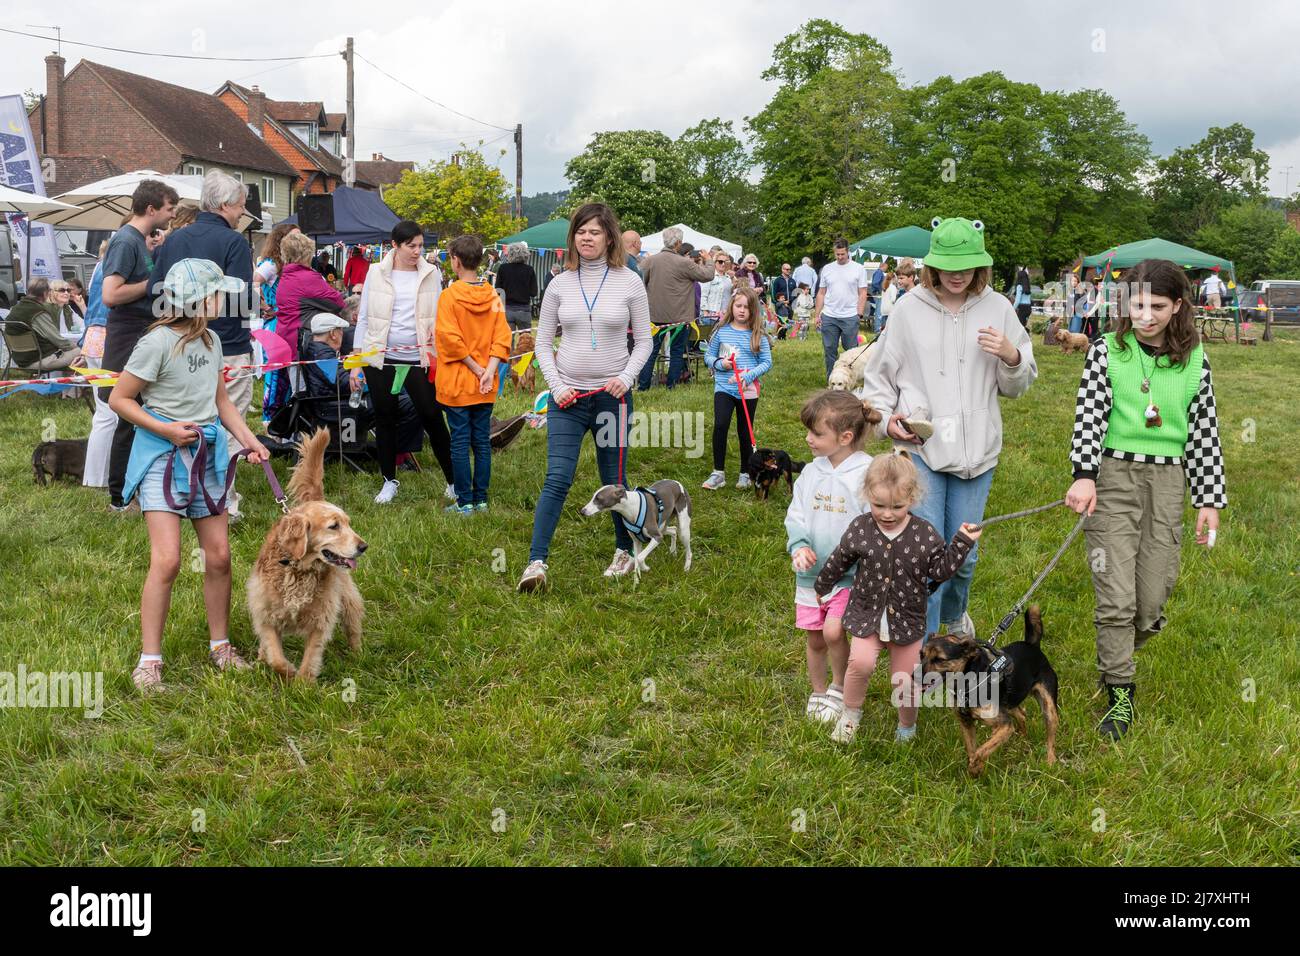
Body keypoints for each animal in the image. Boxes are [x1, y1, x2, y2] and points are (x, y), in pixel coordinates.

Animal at [246, 426, 366, 681]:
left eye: (348, 524)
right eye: (334, 526)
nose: (363, 547)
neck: (296, 568)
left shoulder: (321, 617)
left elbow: (311, 655)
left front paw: (303, 683)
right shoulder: (266, 614)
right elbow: (275, 655)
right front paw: (286, 670)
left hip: (347, 596)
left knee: (353, 624)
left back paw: (358, 653)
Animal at [920, 606, 1060, 780]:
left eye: (939, 659)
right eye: (921, 655)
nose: (914, 675)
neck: (968, 681)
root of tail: (1033, 646)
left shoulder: (1005, 725)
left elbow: (980, 751)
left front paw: (975, 767)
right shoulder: (966, 722)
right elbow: (972, 749)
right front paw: (975, 772)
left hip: (1048, 706)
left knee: (1050, 737)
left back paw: (1050, 762)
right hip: (1008, 702)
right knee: (1021, 714)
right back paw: (1022, 739)